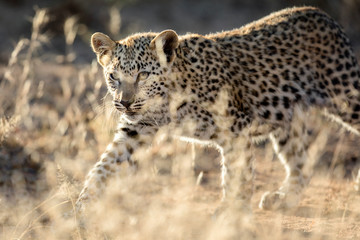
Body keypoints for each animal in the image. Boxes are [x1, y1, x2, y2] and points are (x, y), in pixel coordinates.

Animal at [75, 6, 360, 212]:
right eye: (113, 76)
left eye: (143, 75)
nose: (124, 102)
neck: (167, 104)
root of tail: (323, 15)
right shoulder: (134, 131)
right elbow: (104, 166)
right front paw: (81, 208)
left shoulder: (237, 130)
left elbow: (237, 174)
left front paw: (232, 211)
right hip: (287, 119)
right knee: (300, 163)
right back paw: (284, 197)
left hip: (346, 96)